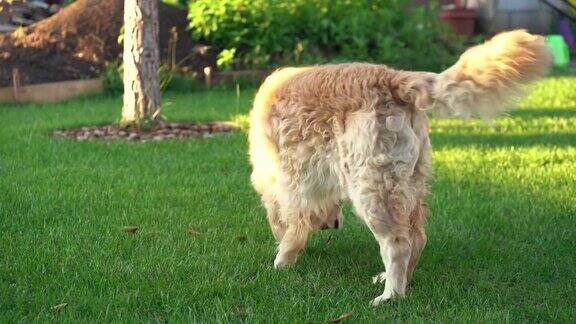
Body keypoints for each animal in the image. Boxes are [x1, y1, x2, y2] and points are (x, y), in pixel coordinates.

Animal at [249, 29, 552, 306]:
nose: (332, 226)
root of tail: (394, 79)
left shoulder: (291, 182)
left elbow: (292, 225)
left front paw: (282, 260)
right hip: (408, 183)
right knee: (417, 237)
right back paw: (400, 281)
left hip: (372, 187)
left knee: (397, 244)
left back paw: (390, 295)